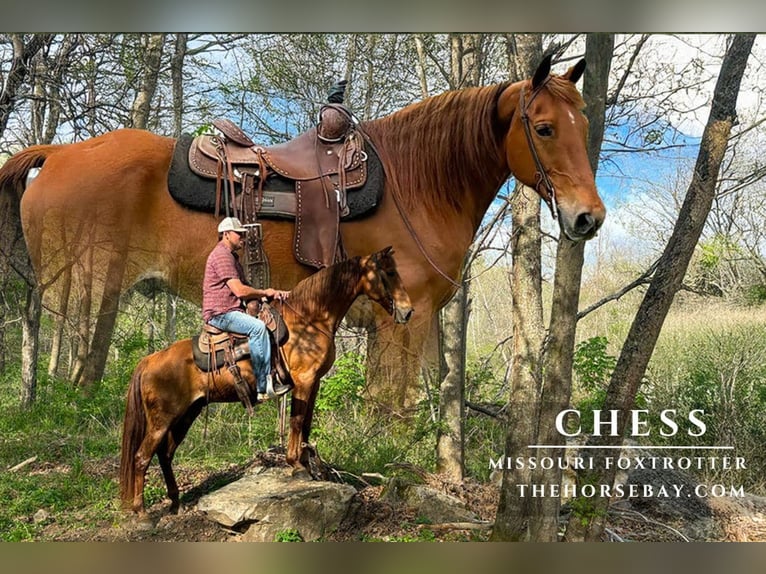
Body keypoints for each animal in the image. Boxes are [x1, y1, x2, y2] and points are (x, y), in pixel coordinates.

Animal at [0, 55, 605, 408]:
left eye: (584, 126)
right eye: (544, 128)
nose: (589, 217)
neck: (418, 182)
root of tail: (58, 153)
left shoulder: (412, 321)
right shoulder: (403, 323)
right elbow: (395, 407)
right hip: (80, 296)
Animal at [119, 246, 413, 517]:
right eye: (389, 272)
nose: (408, 311)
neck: (310, 319)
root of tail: (149, 361)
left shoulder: (314, 383)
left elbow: (306, 425)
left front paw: (306, 465)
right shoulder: (304, 381)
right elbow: (297, 421)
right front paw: (297, 466)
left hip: (186, 414)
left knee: (165, 455)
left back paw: (175, 503)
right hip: (163, 420)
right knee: (141, 457)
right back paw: (142, 512)